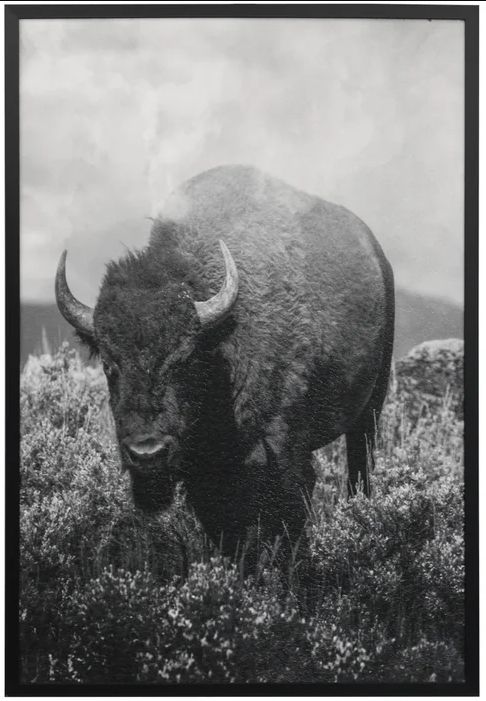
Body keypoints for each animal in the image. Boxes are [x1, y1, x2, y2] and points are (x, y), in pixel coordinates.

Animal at [56, 165, 394, 563]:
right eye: (109, 365)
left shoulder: (285, 457)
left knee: (360, 469)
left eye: (184, 358)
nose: (146, 452)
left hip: (370, 411)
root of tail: (376, 254)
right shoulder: (206, 477)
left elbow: (286, 527)